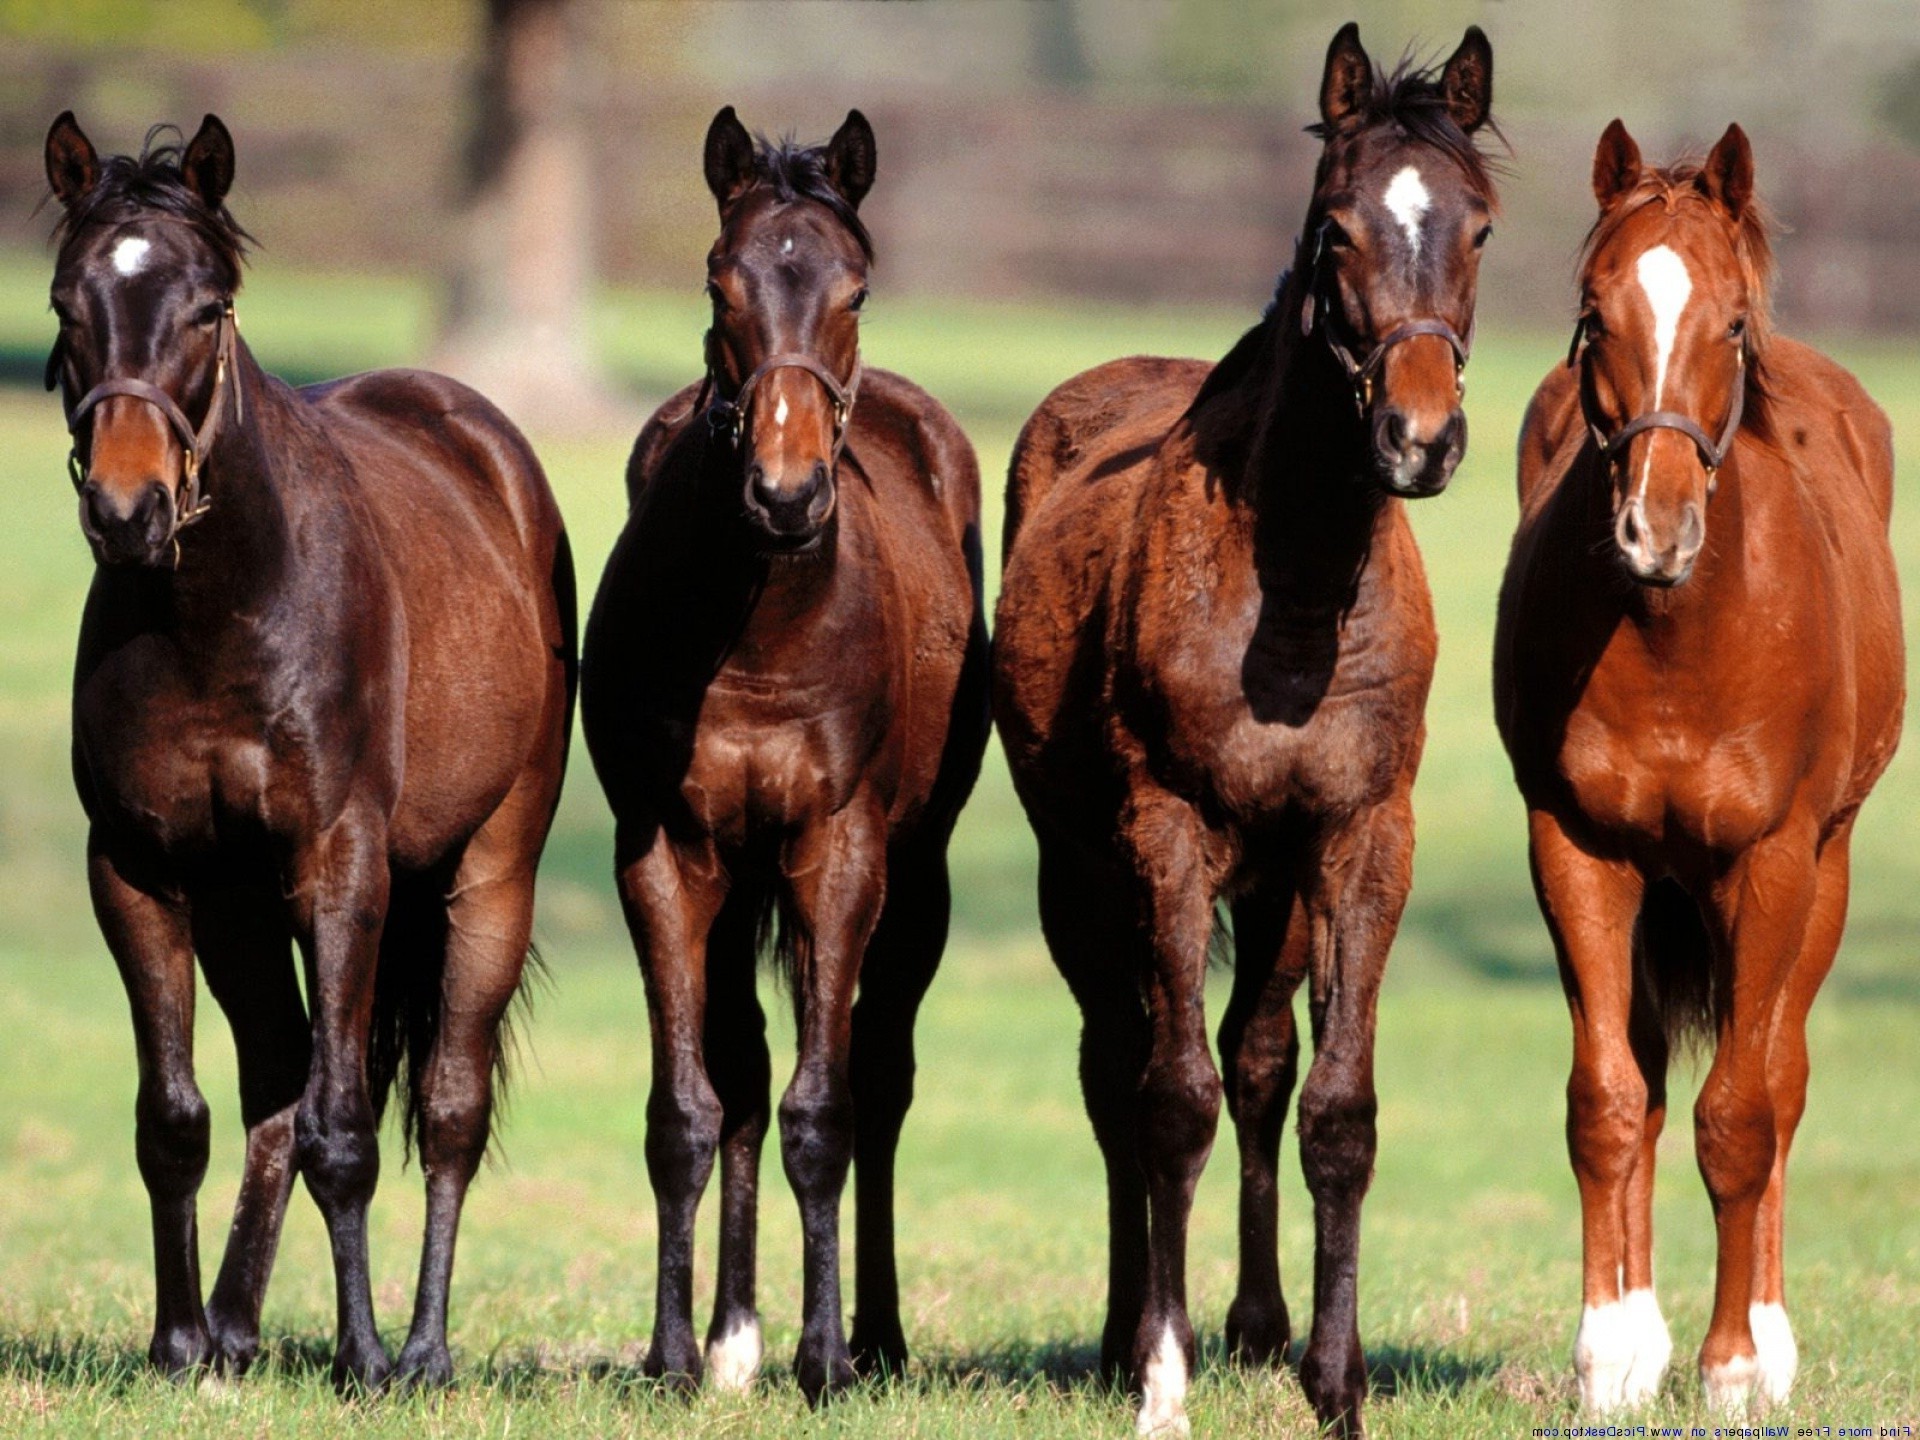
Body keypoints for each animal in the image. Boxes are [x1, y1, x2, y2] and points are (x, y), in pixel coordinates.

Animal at [39, 115, 576, 1397]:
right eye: (67, 306)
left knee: (444, 1106)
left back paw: (423, 1348)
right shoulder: (140, 872)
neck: (217, 614)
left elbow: (351, 1128)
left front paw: (365, 1356)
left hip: (488, 875)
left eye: (208, 309)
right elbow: (177, 1117)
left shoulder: (340, 867)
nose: (127, 511)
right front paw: (178, 1344)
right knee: (278, 1081)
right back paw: (233, 1330)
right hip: (241, 908)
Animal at [579, 107, 990, 1405]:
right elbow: (688, 1109)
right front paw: (675, 1352)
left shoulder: (839, 852)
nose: (788, 490)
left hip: (919, 878)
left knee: (879, 1076)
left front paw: (826, 1358)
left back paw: (877, 1336)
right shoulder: (666, 853)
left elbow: (828, 1108)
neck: (760, 626)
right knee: (745, 1076)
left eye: (855, 288)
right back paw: (732, 1338)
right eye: (723, 280)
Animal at [990, 25, 1497, 1440]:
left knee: (1259, 1058)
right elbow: (1169, 1100)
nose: (1420, 438)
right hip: (1080, 874)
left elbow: (1336, 1107)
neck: (1300, 591)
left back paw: (1260, 1329)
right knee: (1121, 1064)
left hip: (1276, 887)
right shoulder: (1166, 836)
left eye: (1480, 226)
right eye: (1336, 228)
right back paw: (1128, 1337)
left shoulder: (1362, 840)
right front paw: (1162, 1375)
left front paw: (1337, 1381)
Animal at [1489, 118, 1896, 1413]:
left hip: (1824, 874)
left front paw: (1730, 1369)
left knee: (1781, 1079)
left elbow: (1745, 1115)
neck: (1681, 636)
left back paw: (1766, 1338)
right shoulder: (1578, 852)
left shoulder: (1771, 864)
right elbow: (1611, 1103)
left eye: (1728, 324)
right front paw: (1611, 1356)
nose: (1653, 532)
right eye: (1591, 314)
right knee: (1655, 1080)